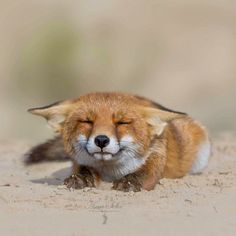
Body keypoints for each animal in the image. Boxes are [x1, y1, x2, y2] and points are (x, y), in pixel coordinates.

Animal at [25, 92, 210, 192]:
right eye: (87, 121)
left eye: (122, 123)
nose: (101, 140)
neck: (111, 171)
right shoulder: (79, 162)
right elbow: (84, 171)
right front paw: (80, 179)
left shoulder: (155, 158)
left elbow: (141, 174)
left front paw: (129, 182)